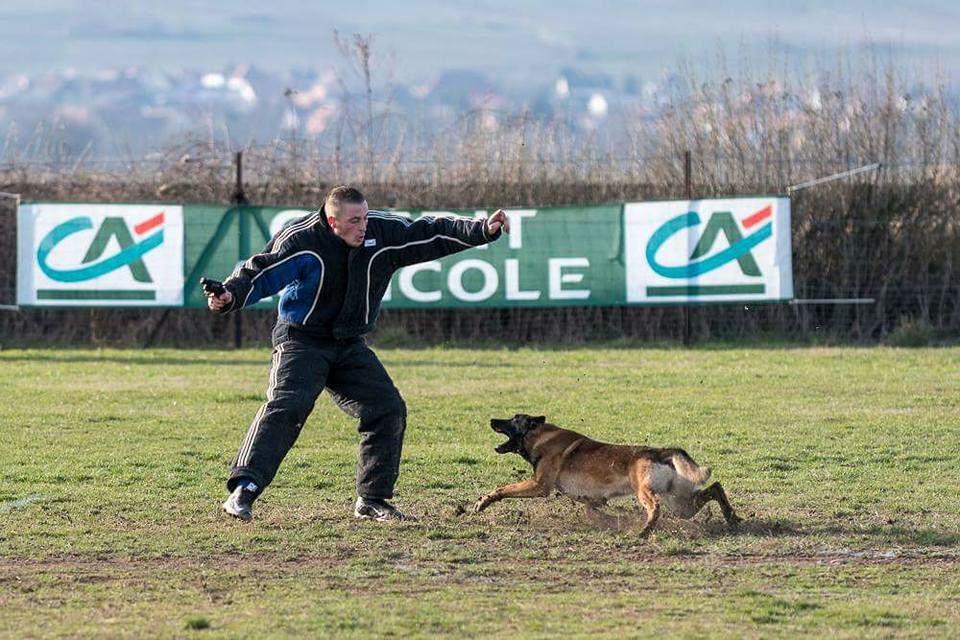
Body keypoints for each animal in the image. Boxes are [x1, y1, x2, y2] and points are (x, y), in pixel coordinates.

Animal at [474, 416, 744, 536]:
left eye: (512, 419)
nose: (492, 419)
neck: (540, 436)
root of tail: (660, 451)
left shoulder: (539, 486)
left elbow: (504, 489)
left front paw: (482, 502)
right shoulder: (591, 500)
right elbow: (594, 511)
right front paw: (612, 521)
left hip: (645, 491)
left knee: (654, 508)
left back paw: (645, 530)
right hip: (680, 504)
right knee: (715, 487)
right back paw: (732, 517)